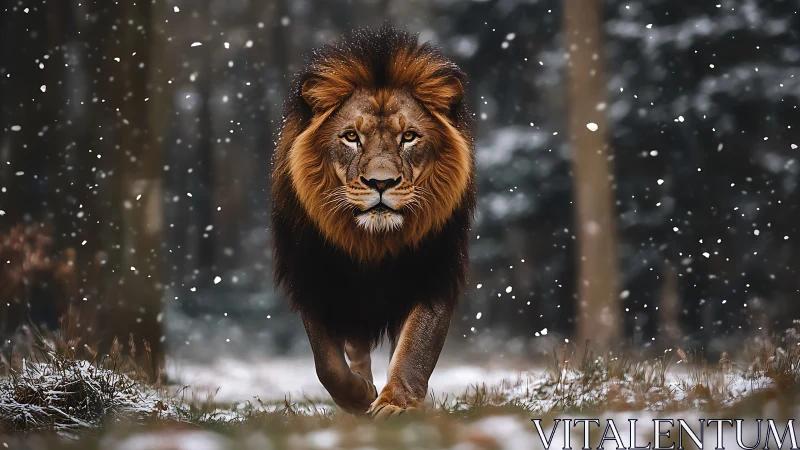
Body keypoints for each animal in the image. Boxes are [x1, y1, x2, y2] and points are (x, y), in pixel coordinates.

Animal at [271, 25, 475, 418]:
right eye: (352, 137)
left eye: (408, 136)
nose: (381, 183)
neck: (374, 241)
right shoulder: (314, 276)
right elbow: (327, 363)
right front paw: (358, 396)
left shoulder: (434, 273)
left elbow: (416, 347)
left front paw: (396, 403)